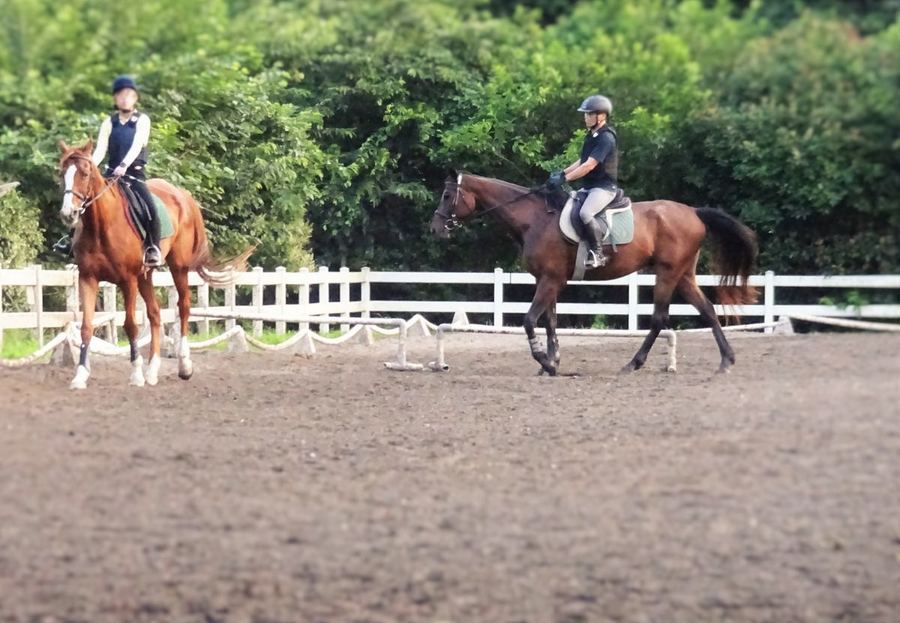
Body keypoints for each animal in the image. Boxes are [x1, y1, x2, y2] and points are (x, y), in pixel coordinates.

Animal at [57, 139, 248, 390]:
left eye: (85, 173)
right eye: (62, 174)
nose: (68, 213)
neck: (101, 226)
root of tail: (183, 195)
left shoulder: (127, 280)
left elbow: (130, 325)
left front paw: (135, 374)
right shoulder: (88, 278)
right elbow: (87, 327)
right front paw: (80, 375)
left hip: (178, 267)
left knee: (183, 306)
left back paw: (184, 365)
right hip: (145, 275)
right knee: (156, 314)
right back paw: (152, 371)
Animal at [430, 172, 758, 376]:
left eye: (447, 195)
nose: (435, 228)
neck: (534, 219)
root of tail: (693, 212)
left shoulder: (551, 280)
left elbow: (530, 321)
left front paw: (545, 362)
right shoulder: (547, 280)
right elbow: (550, 321)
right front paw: (551, 362)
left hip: (667, 273)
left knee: (659, 319)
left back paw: (633, 364)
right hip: (684, 275)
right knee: (707, 309)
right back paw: (726, 361)